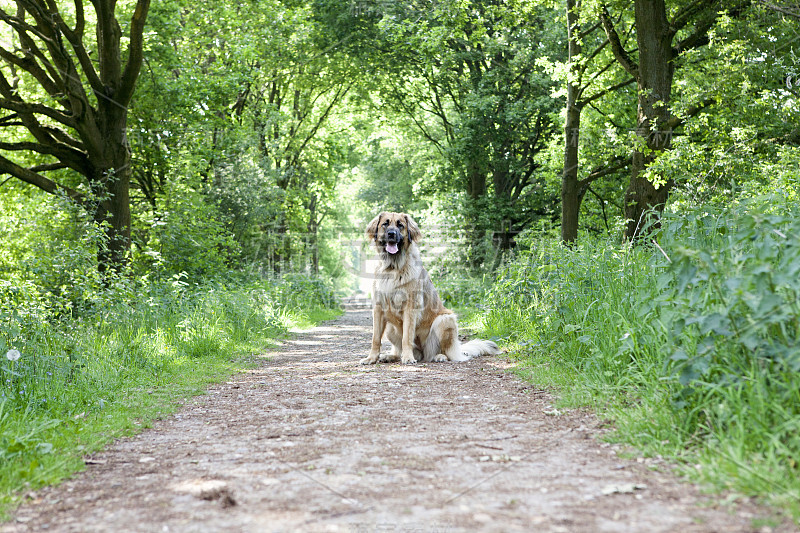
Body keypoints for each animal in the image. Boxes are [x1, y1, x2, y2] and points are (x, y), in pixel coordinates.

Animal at [360, 210, 496, 364]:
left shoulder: (410, 308)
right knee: (403, 350)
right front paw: (371, 358)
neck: (392, 268)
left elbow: (407, 337)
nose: (391, 234)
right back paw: (391, 356)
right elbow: (375, 338)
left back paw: (439, 356)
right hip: (390, 328)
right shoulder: (378, 308)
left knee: (442, 352)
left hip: (444, 320)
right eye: (385, 224)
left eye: (400, 225)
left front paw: (408, 358)